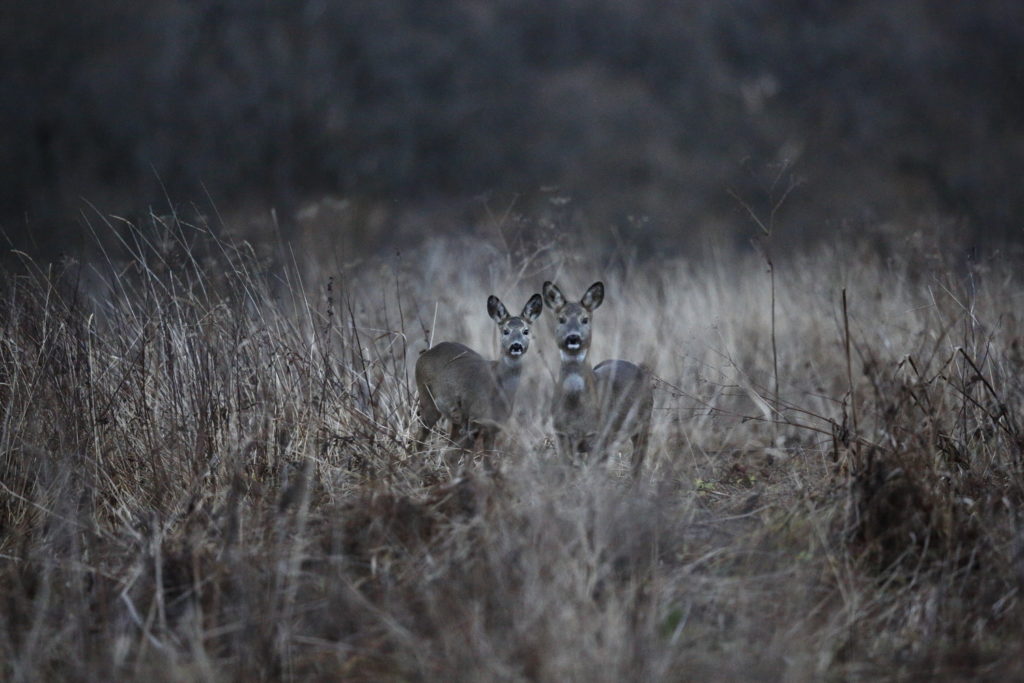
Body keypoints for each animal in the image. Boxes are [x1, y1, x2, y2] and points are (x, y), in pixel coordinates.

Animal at [413, 292, 544, 454]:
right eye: (505, 331)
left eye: (525, 331)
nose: (516, 346)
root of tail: (425, 354)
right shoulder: (475, 419)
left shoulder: (494, 426)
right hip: (427, 398)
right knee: (420, 436)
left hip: (455, 418)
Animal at [540, 280, 651, 479]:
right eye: (561, 318)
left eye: (585, 319)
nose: (573, 337)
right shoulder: (561, 435)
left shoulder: (599, 436)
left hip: (644, 422)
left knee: (637, 464)